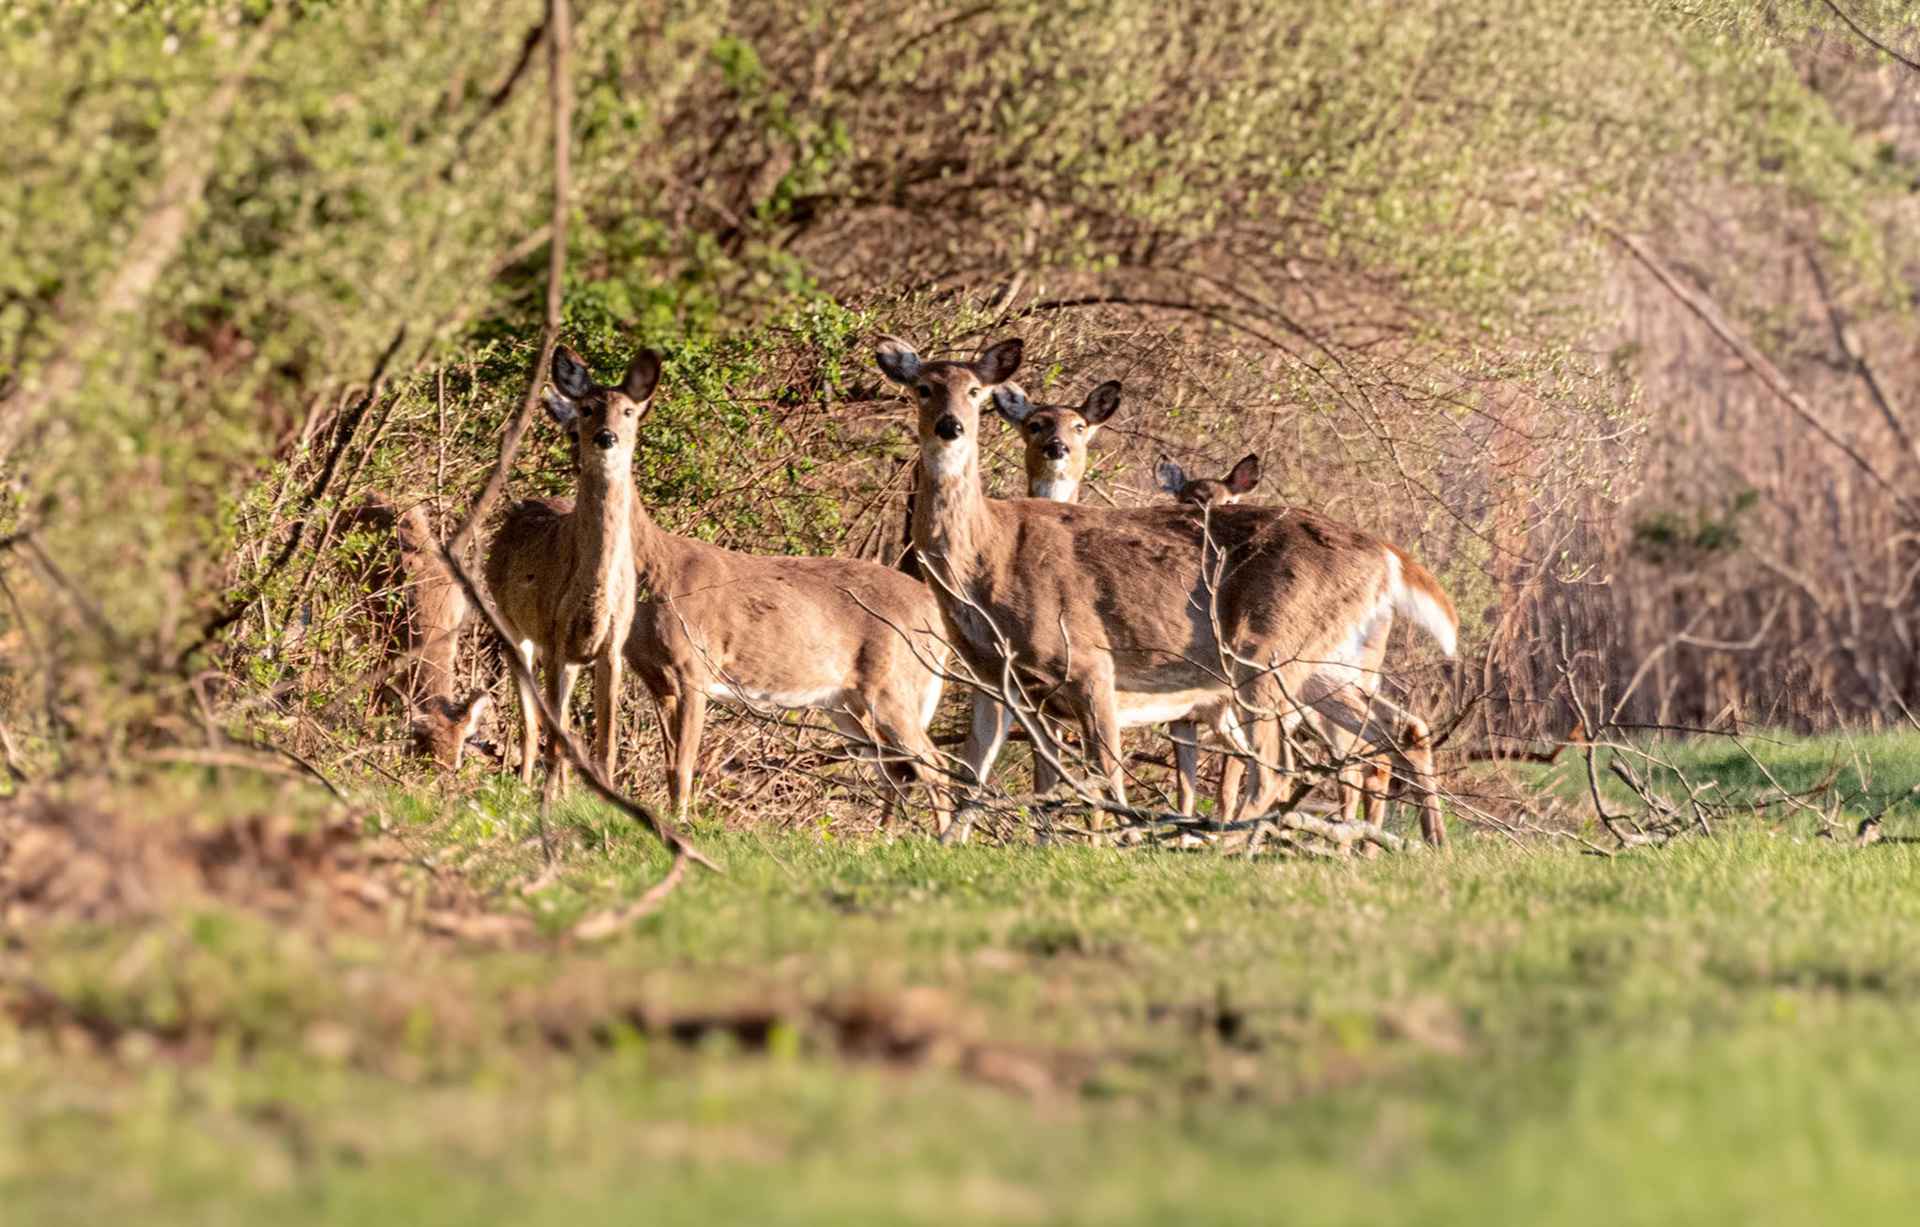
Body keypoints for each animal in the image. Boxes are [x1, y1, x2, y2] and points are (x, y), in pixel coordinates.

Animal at [484, 345, 649, 793]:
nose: (605, 437)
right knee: (532, 720)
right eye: (586, 410)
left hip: (567, 656)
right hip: (513, 628)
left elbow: (605, 742)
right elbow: (553, 731)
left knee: (557, 721)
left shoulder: (611, 647)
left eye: (628, 411)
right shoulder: (553, 636)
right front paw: (547, 797)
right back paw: (524, 783)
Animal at [877, 335, 1457, 847]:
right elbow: (978, 766)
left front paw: (1111, 843)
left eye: (975, 390)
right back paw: (1430, 843)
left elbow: (1105, 768)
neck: (988, 555)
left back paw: (1231, 845)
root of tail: (1388, 555)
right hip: (1322, 661)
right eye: (923, 387)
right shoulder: (995, 674)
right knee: (1404, 729)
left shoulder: (1089, 658)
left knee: (1278, 765)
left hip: (1264, 647)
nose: (951, 426)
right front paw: (951, 845)